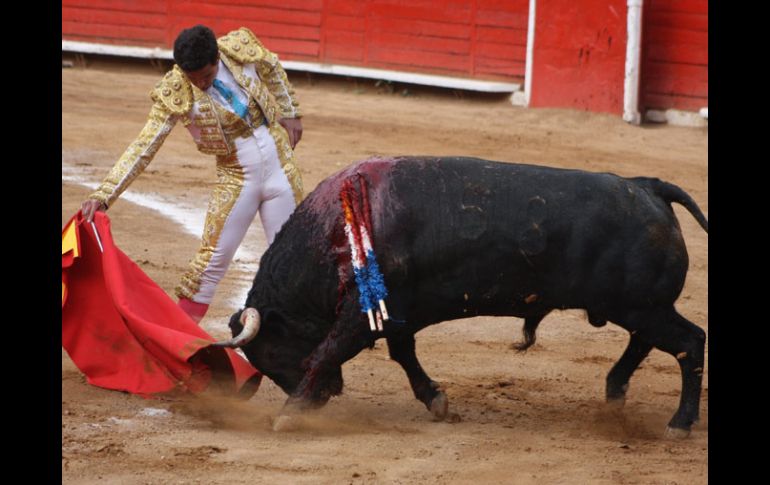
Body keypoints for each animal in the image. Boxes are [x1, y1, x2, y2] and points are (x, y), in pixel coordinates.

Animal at [220, 157, 704, 436]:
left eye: (271, 353)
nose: (326, 397)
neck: (335, 232)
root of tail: (647, 186)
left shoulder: (361, 315)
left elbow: (328, 350)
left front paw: (289, 413)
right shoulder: (397, 314)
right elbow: (403, 354)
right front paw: (436, 401)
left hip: (642, 306)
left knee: (690, 342)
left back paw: (679, 423)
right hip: (636, 307)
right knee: (649, 342)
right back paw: (616, 392)